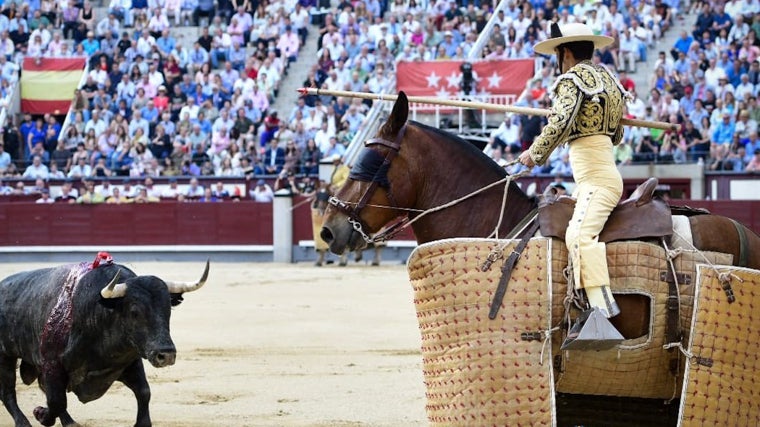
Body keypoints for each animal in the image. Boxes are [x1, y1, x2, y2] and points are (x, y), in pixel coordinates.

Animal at [0, 258, 211, 427]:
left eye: (168, 309)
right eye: (134, 311)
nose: (165, 355)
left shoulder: (131, 360)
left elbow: (144, 391)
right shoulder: (51, 364)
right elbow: (56, 400)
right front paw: (41, 415)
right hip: (5, 356)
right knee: (8, 392)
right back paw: (24, 422)